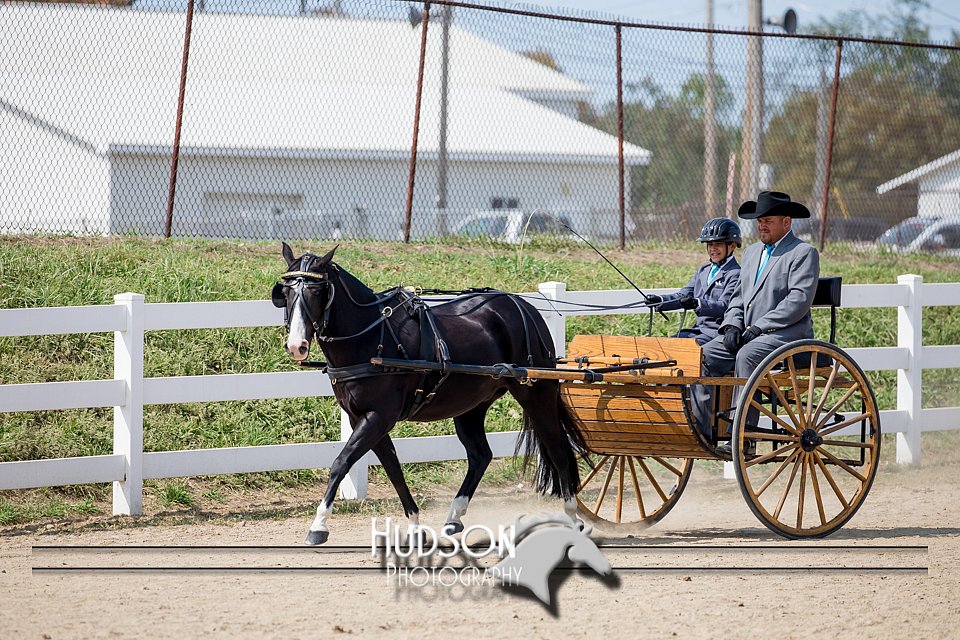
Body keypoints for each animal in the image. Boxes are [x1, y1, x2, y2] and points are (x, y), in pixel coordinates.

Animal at [270, 242, 584, 544]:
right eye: (286, 291)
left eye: (316, 291)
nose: (296, 345)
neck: (370, 337)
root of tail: (524, 306)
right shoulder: (363, 418)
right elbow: (394, 470)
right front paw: (415, 525)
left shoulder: (378, 417)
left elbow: (341, 463)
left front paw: (319, 525)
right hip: (471, 406)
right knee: (480, 455)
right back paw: (454, 517)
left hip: (537, 395)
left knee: (557, 449)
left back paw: (572, 515)